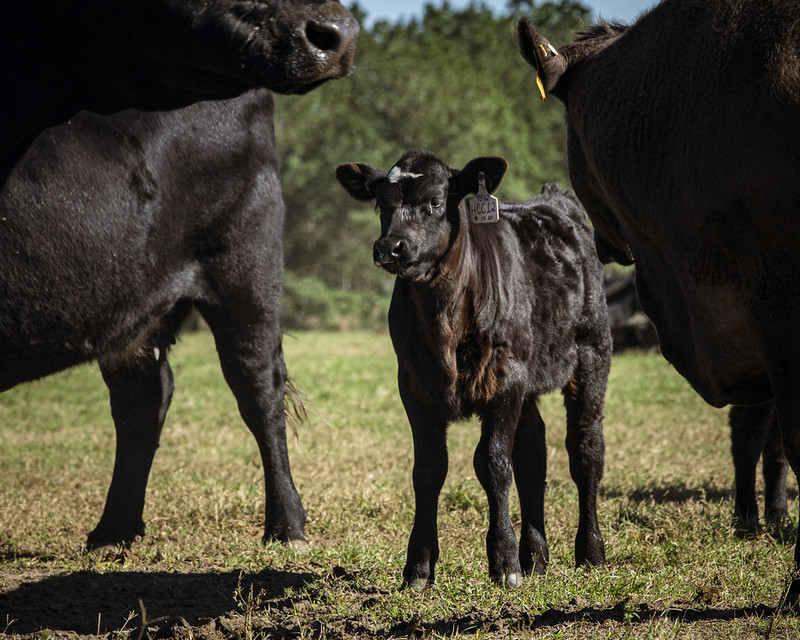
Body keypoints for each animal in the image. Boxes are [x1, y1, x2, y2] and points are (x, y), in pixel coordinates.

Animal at [335, 150, 611, 588]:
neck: (444, 321)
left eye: (434, 202)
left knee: (585, 450)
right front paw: (419, 567)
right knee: (533, 453)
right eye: (381, 204)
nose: (389, 247)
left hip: (591, 354)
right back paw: (535, 556)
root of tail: (555, 199)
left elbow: (493, 463)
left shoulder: (505, 380)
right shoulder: (413, 385)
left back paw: (590, 553)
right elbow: (429, 468)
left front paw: (504, 562)